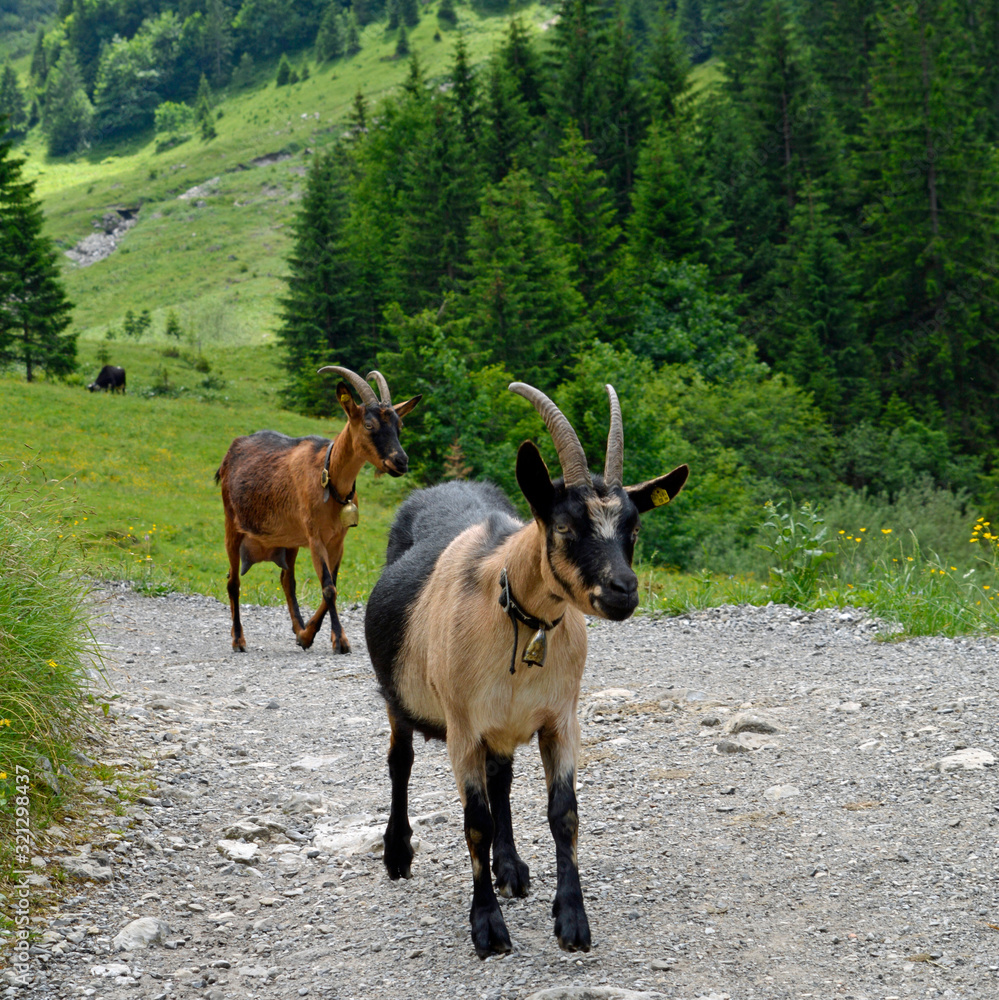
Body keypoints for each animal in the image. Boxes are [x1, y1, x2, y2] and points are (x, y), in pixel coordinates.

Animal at [216, 366, 420, 654]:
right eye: (369, 425)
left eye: (399, 425)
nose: (400, 461)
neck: (329, 476)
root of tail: (231, 452)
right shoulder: (315, 537)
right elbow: (328, 587)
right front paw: (341, 641)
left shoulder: (338, 539)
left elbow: (331, 582)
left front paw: (307, 635)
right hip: (231, 523)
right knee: (233, 581)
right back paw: (238, 640)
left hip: (288, 539)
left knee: (286, 579)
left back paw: (298, 628)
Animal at [364, 382, 688, 957]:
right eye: (564, 525)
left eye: (632, 528)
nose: (623, 591)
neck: (516, 615)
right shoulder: (463, 727)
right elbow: (474, 821)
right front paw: (488, 928)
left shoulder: (559, 719)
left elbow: (564, 814)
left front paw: (572, 920)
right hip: (400, 698)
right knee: (400, 760)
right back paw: (398, 853)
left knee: (501, 781)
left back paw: (511, 867)